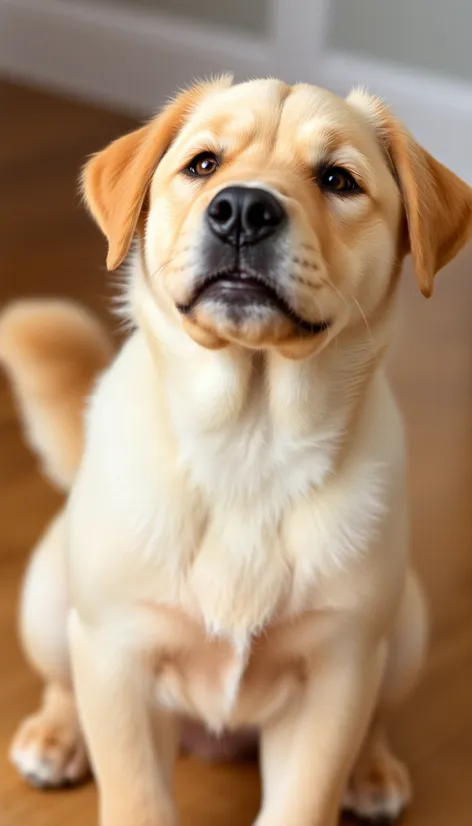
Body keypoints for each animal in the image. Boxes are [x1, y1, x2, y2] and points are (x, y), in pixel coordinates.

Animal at [0, 77, 472, 824]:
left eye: (338, 180)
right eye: (202, 165)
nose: (243, 210)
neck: (249, 440)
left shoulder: (336, 672)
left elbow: (305, 800)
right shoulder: (119, 656)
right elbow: (135, 798)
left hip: (403, 632)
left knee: (377, 717)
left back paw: (371, 773)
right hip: (52, 605)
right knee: (63, 681)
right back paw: (56, 735)